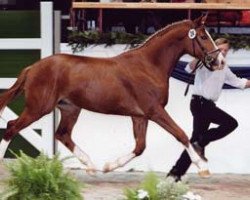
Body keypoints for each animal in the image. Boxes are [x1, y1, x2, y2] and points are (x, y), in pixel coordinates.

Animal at [0, 16, 225, 177]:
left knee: (62, 134)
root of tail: (32, 68)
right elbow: (181, 134)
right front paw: (203, 168)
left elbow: (140, 147)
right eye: (203, 36)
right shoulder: (155, 111)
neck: (149, 66)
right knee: (12, 127)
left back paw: (91, 165)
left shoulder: (140, 116)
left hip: (70, 108)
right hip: (39, 108)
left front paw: (109, 166)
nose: (219, 61)